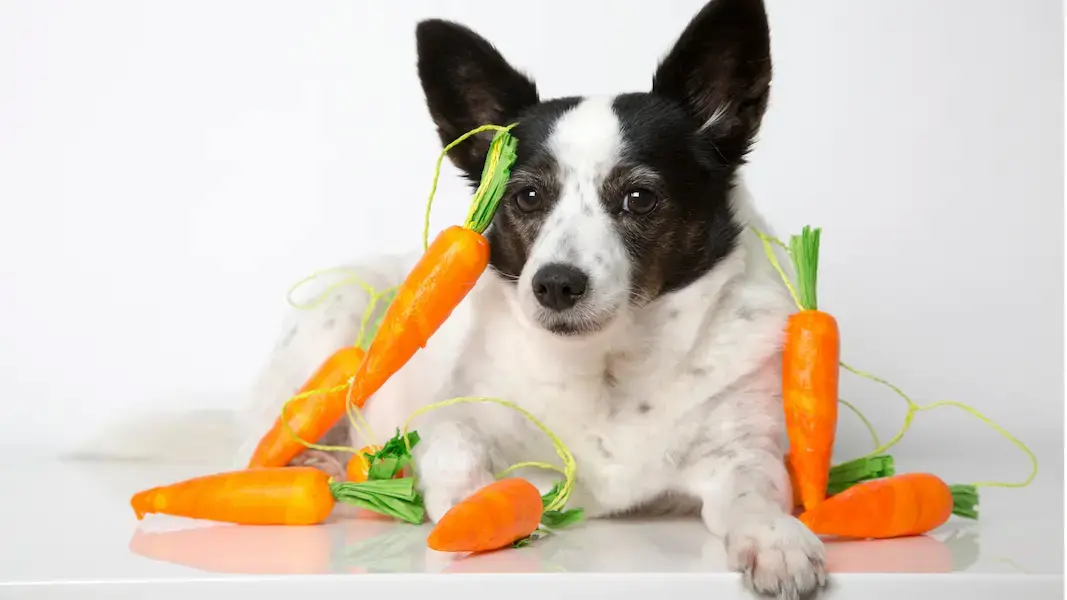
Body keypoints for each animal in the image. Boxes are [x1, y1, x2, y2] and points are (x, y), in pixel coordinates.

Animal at [231, 0, 823, 593]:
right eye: (528, 196)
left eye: (639, 197)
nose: (556, 284)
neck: (610, 367)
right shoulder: (451, 419)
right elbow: (455, 452)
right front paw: (473, 504)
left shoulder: (742, 451)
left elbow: (755, 494)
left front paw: (777, 541)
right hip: (334, 330)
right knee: (260, 446)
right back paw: (314, 466)